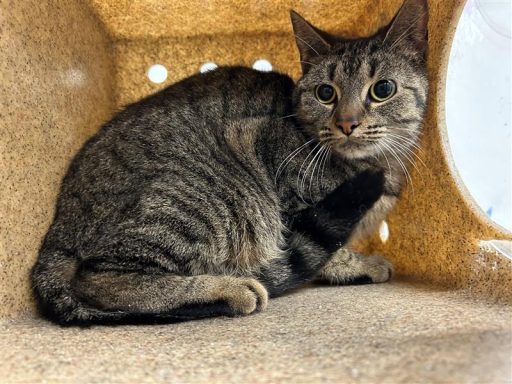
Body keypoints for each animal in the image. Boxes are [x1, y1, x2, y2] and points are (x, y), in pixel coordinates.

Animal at [31, 0, 428, 324]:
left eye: (382, 89)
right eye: (325, 93)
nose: (347, 123)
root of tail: (56, 233)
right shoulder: (283, 185)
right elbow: (331, 249)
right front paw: (357, 264)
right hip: (207, 197)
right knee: (99, 279)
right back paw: (230, 289)